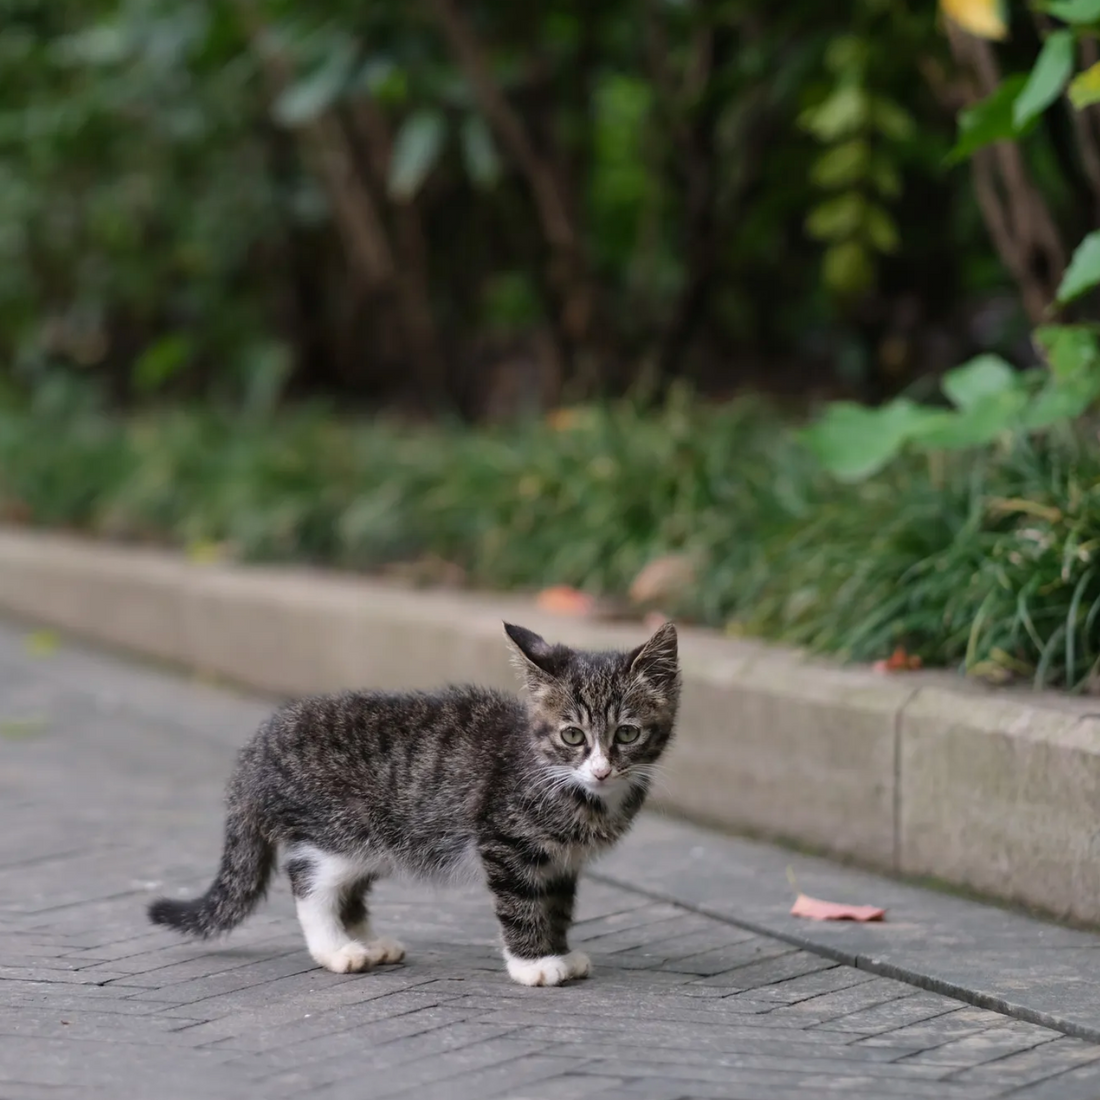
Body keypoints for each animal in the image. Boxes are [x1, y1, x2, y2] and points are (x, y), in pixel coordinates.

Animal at [146, 620, 677, 990]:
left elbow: (557, 906)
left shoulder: (562, 861)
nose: (602, 769)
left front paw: (559, 953)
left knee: (348, 888)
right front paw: (533, 965)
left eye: (627, 734)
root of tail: (259, 745)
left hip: (379, 836)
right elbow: (522, 904)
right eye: (572, 736)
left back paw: (369, 942)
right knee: (309, 881)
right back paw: (337, 950)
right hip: (339, 831)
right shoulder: (504, 841)